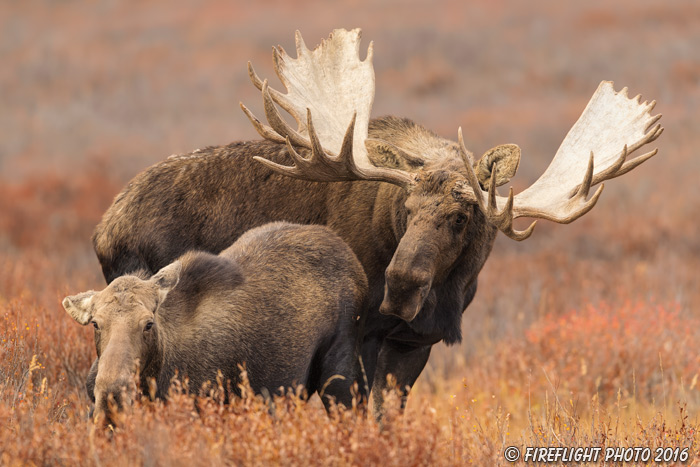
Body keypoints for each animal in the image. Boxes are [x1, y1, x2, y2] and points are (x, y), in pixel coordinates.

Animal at [90, 28, 664, 416]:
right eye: (406, 209)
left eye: (463, 216)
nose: (400, 285)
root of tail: (104, 227)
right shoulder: (354, 343)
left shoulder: (413, 346)